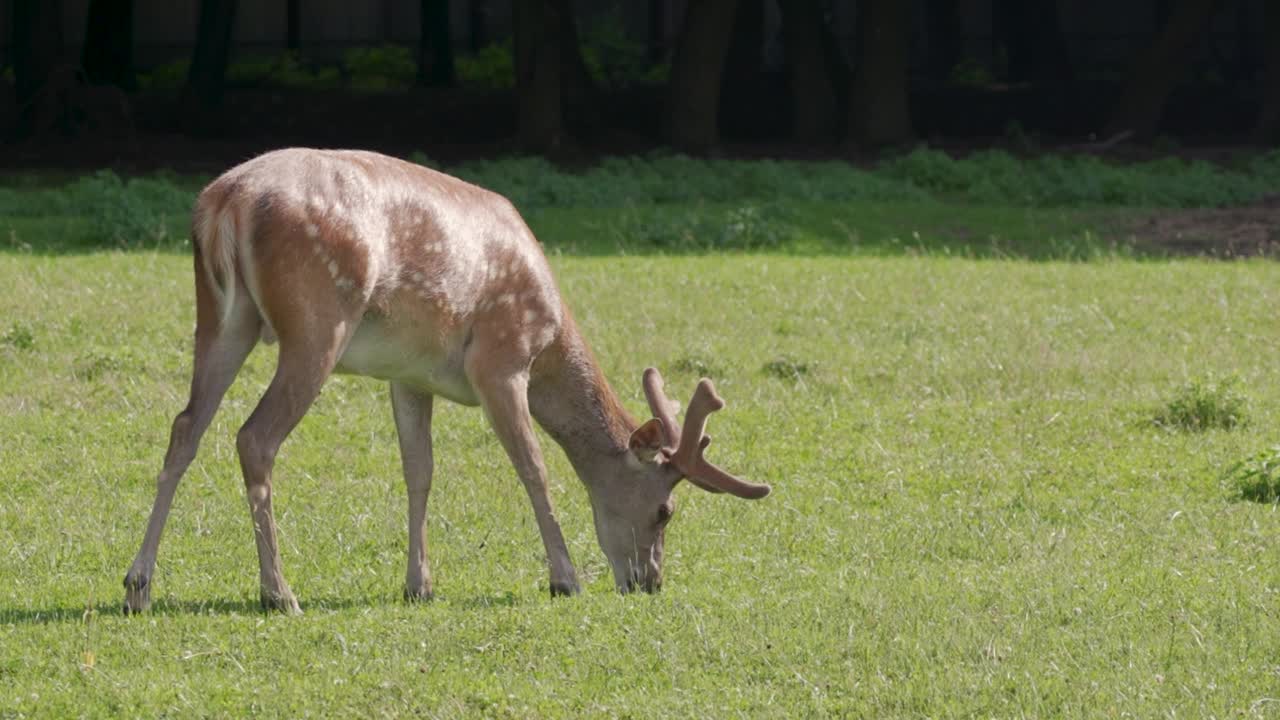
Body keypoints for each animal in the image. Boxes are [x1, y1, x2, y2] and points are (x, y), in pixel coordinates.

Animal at [124, 146, 768, 609]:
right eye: (665, 511)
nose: (649, 582)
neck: (551, 338)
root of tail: (224, 203)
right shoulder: (501, 360)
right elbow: (533, 467)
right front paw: (564, 578)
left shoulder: (409, 375)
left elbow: (419, 471)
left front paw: (419, 584)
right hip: (317, 321)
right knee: (254, 437)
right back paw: (279, 593)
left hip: (222, 316)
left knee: (185, 427)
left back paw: (138, 586)